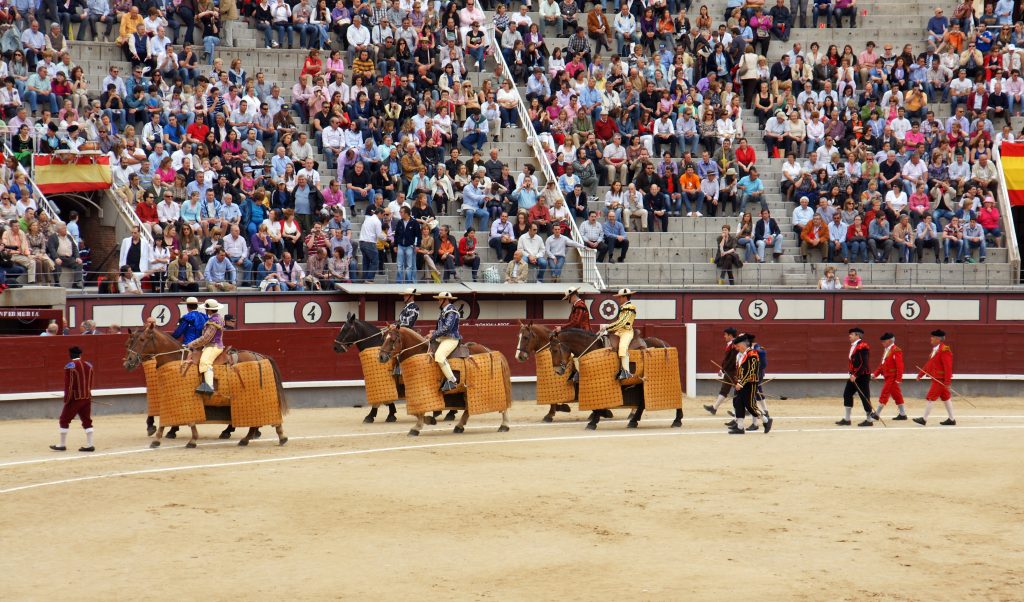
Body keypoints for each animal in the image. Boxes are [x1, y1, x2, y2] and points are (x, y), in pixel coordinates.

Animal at [126, 319, 292, 446]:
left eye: (142, 340)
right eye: (130, 341)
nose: (128, 362)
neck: (176, 360)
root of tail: (260, 356)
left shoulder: (185, 399)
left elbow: (184, 421)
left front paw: (189, 440)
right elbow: (169, 421)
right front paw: (159, 439)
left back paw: (266, 437)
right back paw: (254, 438)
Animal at [376, 327, 512, 434]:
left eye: (393, 340)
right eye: (383, 339)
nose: (381, 357)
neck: (419, 352)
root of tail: (489, 350)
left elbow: (419, 411)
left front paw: (418, 426)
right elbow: (415, 411)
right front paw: (427, 421)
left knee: (502, 401)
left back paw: (504, 425)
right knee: (468, 407)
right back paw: (459, 426)